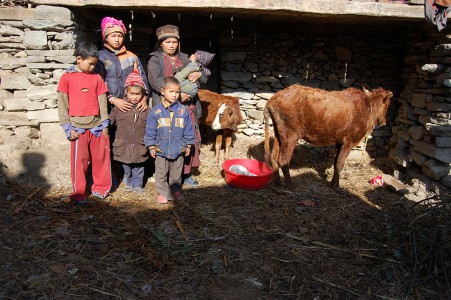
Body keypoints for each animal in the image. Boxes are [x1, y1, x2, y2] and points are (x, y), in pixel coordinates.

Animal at [264, 84, 394, 188]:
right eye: (387, 104)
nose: (384, 122)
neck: (367, 107)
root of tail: (275, 97)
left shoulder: (339, 142)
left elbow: (336, 162)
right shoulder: (348, 141)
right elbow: (340, 163)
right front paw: (336, 185)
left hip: (278, 133)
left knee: (273, 157)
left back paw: (278, 183)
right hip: (290, 135)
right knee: (283, 160)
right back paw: (291, 185)